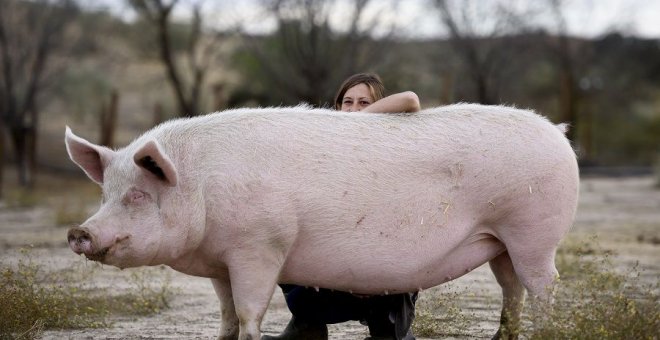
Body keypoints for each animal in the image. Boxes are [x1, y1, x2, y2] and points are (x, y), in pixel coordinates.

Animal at [67, 104, 576, 340]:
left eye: (137, 195)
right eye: (105, 193)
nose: (79, 231)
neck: (200, 184)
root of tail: (558, 133)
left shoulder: (259, 247)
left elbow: (250, 312)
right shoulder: (220, 264)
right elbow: (226, 314)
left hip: (533, 231)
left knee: (544, 285)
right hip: (500, 241)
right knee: (511, 289)